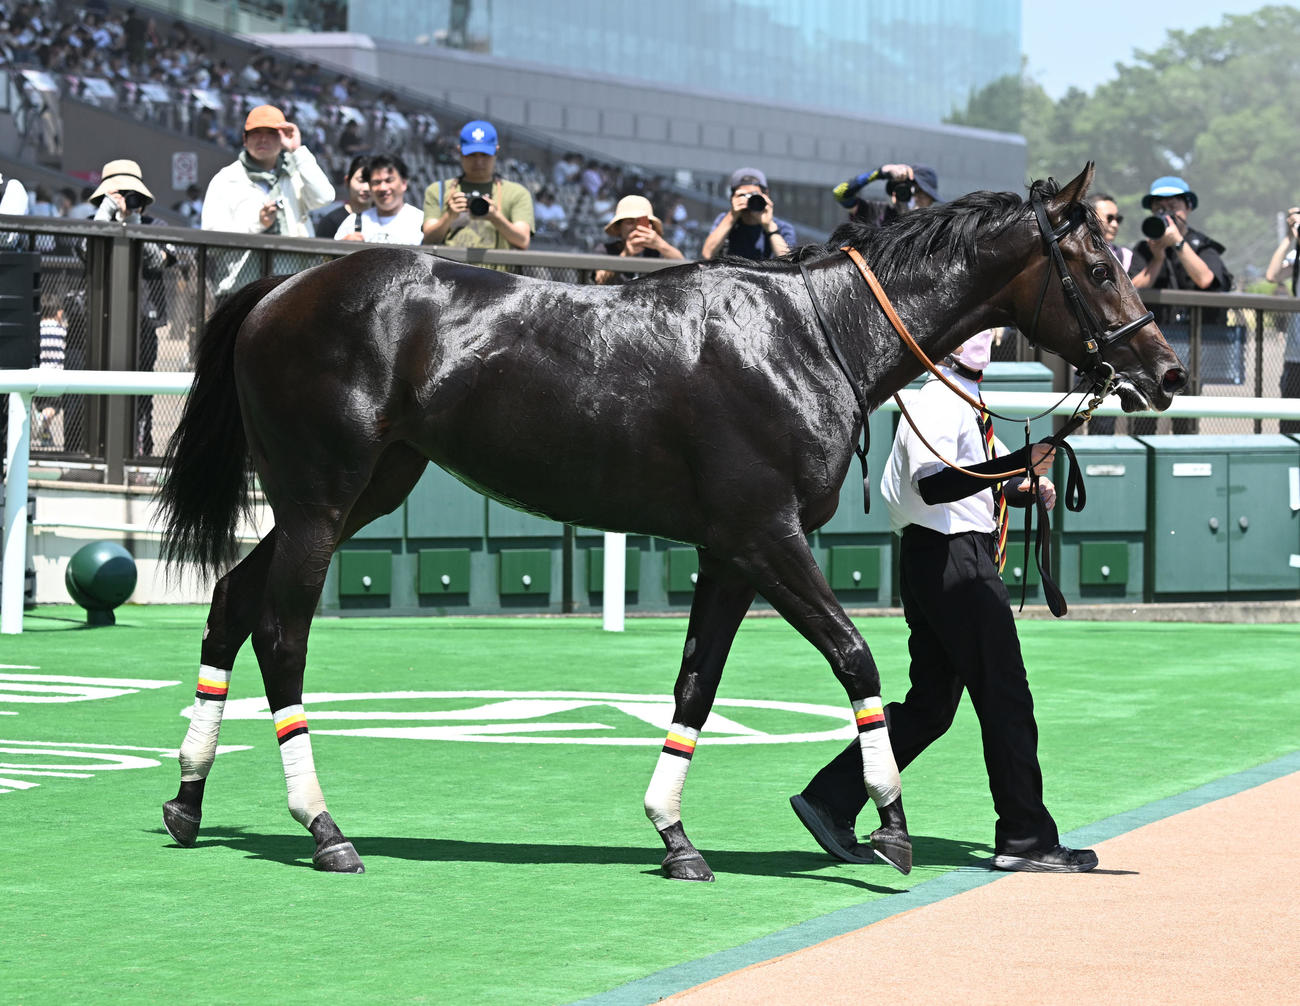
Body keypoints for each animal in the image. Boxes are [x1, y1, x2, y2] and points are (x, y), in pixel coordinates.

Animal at [158, 163, 1185, 880]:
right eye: (1099, 265)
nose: (1167, 372)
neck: (814, 334)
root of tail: (277, 291)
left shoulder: (730, 553)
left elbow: (696, 686)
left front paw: (675, 835)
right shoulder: (770, 538)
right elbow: (856, 659)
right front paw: (888, 825)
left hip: (364, 489)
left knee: (232, 601)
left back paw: (187, 801)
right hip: (322, 498)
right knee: (281, 631)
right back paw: (323, 828)